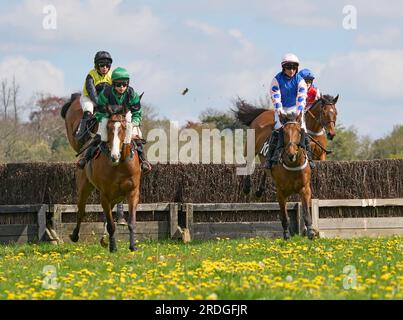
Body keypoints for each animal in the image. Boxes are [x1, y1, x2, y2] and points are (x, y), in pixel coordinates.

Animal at [270, 112, 318, 240]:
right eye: (284, 132)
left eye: (299, 132)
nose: (291, 154)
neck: (293, 165)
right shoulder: (280, 193)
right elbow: (284, 215)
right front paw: (286, 234)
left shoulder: (305, 189)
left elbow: (306, 213)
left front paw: (311, 233)